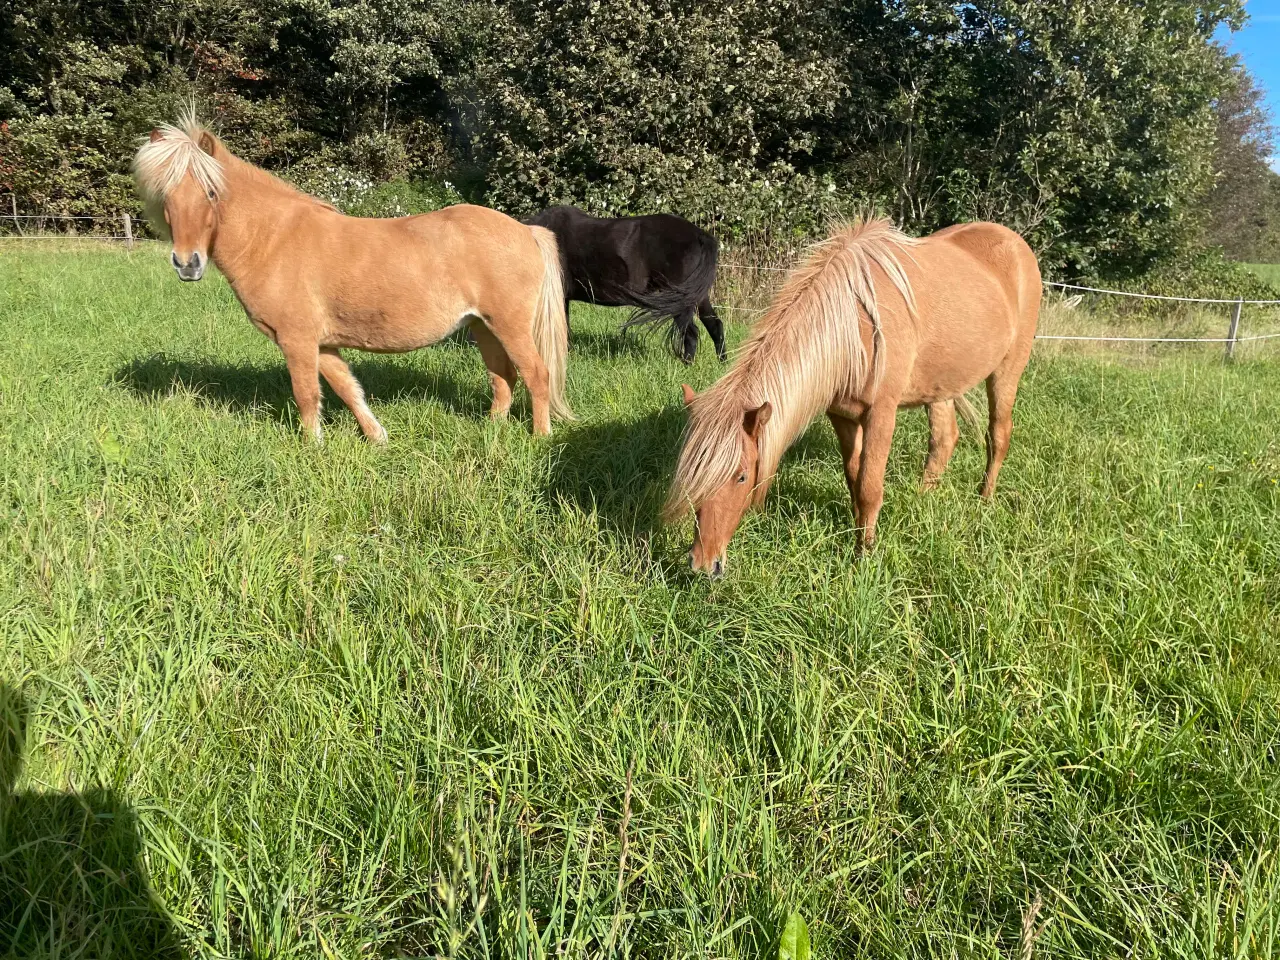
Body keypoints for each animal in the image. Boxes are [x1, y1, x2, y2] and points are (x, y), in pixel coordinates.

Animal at [133, 112, 570, 440]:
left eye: (211, 193)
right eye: (166, 196)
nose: (187, 264)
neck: (272, 238)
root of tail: (525, 230)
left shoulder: (297, 340)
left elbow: (307, 395)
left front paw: (312, 447)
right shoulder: (323, 343)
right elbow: (347, 389)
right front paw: (377, 438)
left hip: (510, 325)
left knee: (536, 374)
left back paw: (540, 437)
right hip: (483, 326)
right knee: (503, 378)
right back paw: (492, 431)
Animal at [665, 218, 1044, 578]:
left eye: (742, 476)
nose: (703, 564)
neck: (854, 324)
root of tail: (1015, 243)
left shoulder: (881, 414)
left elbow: (870, 486)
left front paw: (865, 553)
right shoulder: (842, 416)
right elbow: (853, 476)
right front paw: (857, 532)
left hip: (1008, 370)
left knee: (998, 436)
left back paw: (984, 499)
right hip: (941, 385)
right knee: (944, 439)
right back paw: (922, 499)